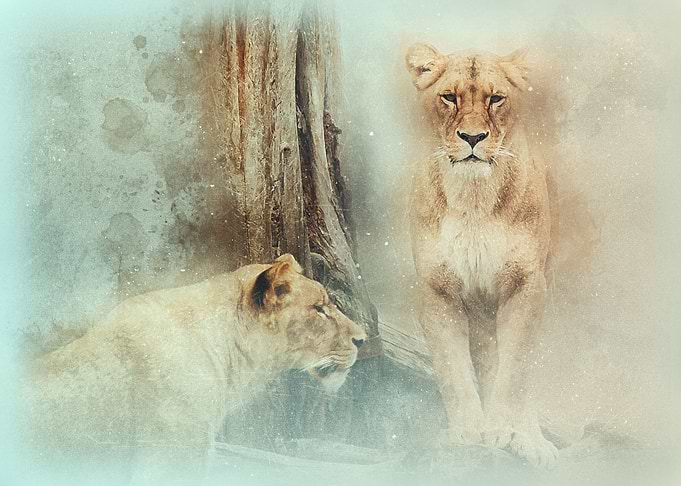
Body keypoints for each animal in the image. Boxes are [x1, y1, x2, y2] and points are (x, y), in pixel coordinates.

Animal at [404, 44, 558, 468]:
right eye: (449, 97)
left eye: (495, 98)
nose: (472, 137)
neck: (473, 197)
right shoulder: (436, 289)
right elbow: (452, 370)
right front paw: (468, 431)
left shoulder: (527, 285)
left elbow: (515, 371)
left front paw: (503, 430)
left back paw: (532, 441)